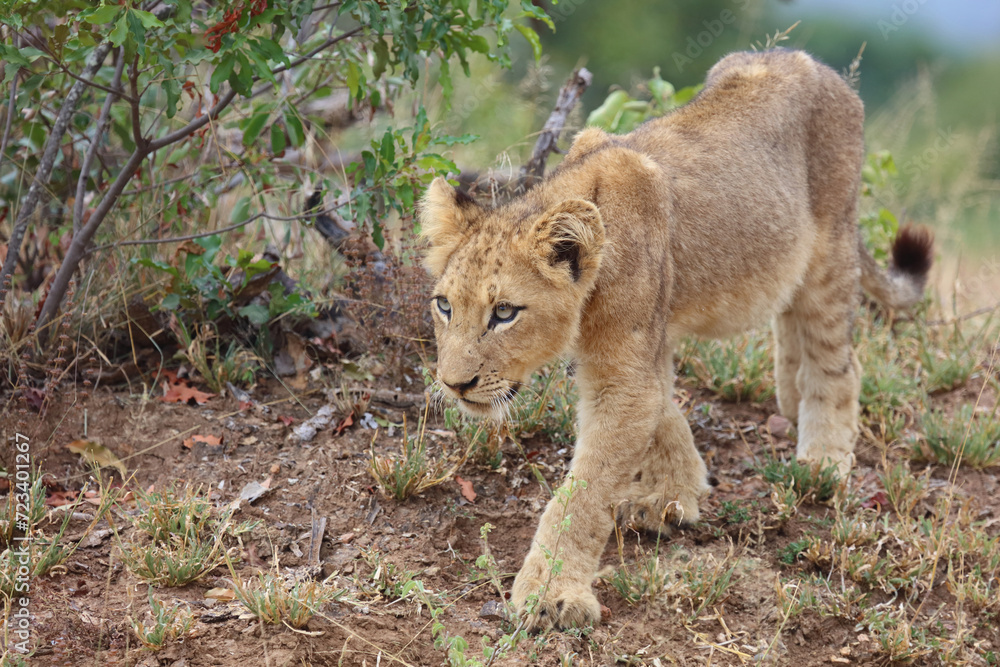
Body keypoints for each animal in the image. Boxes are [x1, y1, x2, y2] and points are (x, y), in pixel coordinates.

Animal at [418, 49, 933, 632]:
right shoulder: (643, 346)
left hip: (832, 247)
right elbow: (664, 407)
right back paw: (790, 397)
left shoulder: (625, 371)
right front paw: (677, 494)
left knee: (838, 359)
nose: (454, 385)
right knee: (789, 308)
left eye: (504, 313)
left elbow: (584, 492)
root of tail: (810, 60)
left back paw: (823, 457)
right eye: (444, 306)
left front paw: (552, 594)